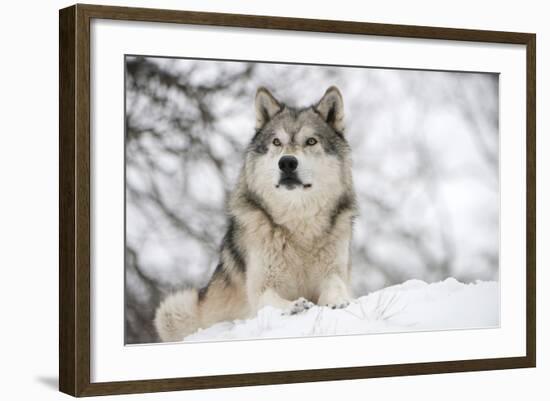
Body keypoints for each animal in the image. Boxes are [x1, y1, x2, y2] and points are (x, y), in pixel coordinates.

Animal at [154, 84, 358, 340]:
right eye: (277, 142)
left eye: (311, 141)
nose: (287, 162)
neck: (298, 226)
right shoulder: (261, 288)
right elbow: (270, 299)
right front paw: (294, 306)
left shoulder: (335, 273)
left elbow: (336, 286)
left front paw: (337, 301)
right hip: (174, 308)